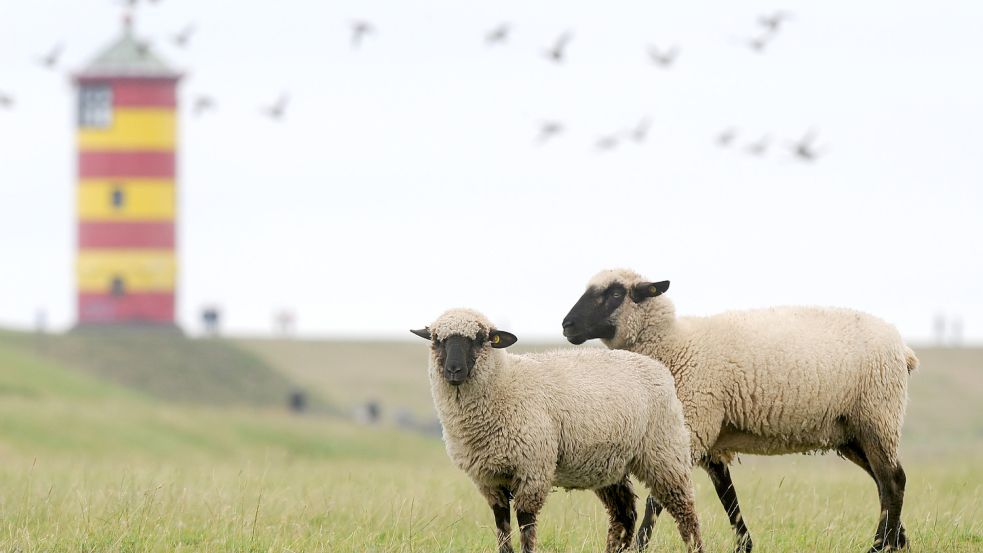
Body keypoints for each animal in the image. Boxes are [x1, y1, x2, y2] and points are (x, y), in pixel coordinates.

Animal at [412, 306, 704, 552]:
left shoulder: (533, 469)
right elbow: (502, 527)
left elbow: (526, 525)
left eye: (480, 338)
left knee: (685, 511)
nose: (454, 370)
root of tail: (657, 366)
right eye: (436, 339)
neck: (505, 384)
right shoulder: (489, 480)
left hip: (664, 452)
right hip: (609, 464)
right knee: (624, 515)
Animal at [560, 268, 924, 552]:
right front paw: (745, 545)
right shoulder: (707, 437)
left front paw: (639, 546)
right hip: (851, 431)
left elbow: (660, 498)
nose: (567, 325)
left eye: (615, 293)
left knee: (893, 481)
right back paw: (897, 541)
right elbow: (728, 497)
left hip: (877, 416)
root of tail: (903, 349)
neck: (674, 344)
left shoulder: (692, 426)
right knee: (885, 482)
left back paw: (879, 546)